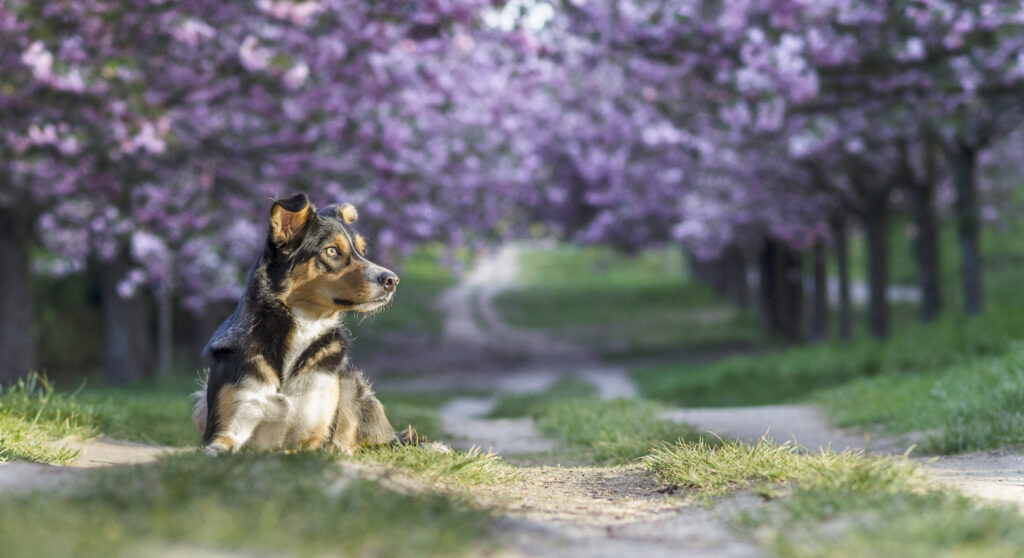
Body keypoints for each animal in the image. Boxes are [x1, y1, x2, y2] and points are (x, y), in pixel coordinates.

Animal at [193, 191, 401, 452]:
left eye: (363, 251)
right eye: (332, 251)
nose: (392, 280)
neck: (304, 324)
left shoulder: (316, 433)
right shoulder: (226, 428)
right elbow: (219, 447)